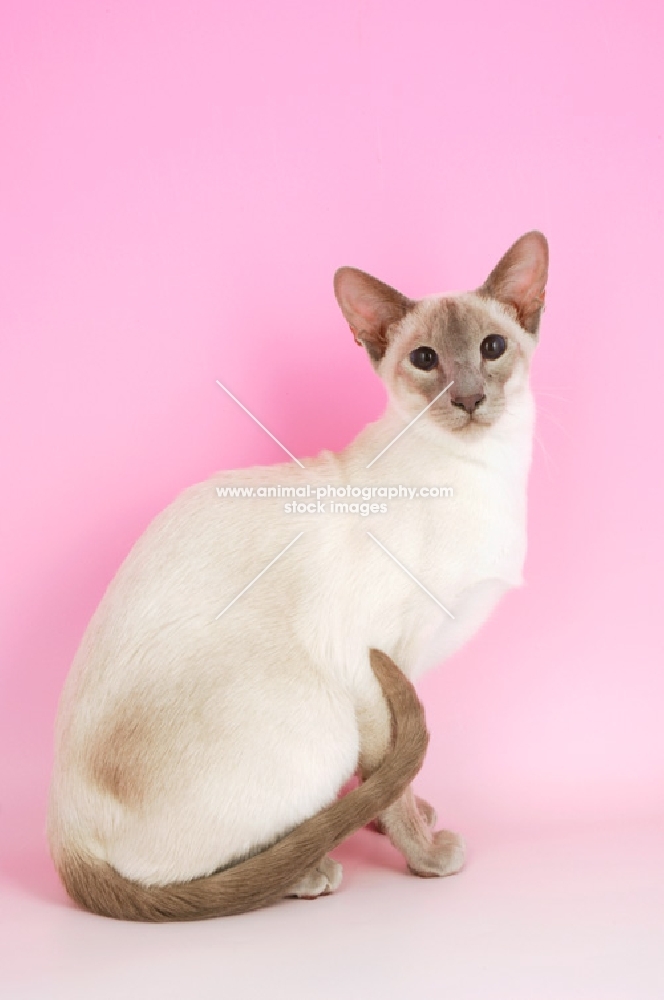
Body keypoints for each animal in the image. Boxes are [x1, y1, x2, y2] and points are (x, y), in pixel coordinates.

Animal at [48, 230, 548, 916]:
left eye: (492, 348)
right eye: (425, 359)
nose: (468, 398)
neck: (482, 472)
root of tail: (61, 835)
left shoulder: (404, 668)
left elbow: (397, 772)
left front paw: (396, 818)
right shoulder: (371, 662)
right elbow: (392, 772)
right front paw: (423, 856)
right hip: (321, 717)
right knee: (167, 875)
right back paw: (307, 869)